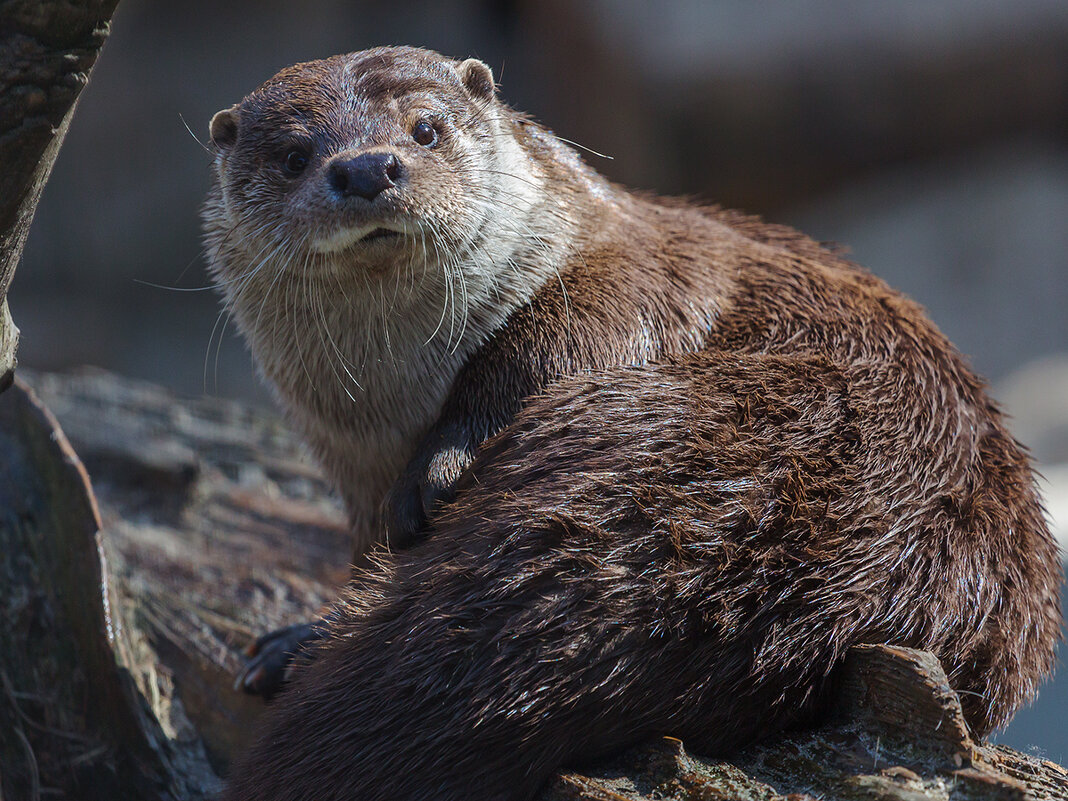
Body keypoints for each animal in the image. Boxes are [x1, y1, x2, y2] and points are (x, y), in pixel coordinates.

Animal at [203, 46, 1063, 801]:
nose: (364, 168)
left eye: (425, 129)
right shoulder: (352, 466)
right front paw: (300, 632)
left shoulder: (633, 272)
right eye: (293, 155)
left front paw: (438, 472)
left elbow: (561, 345)